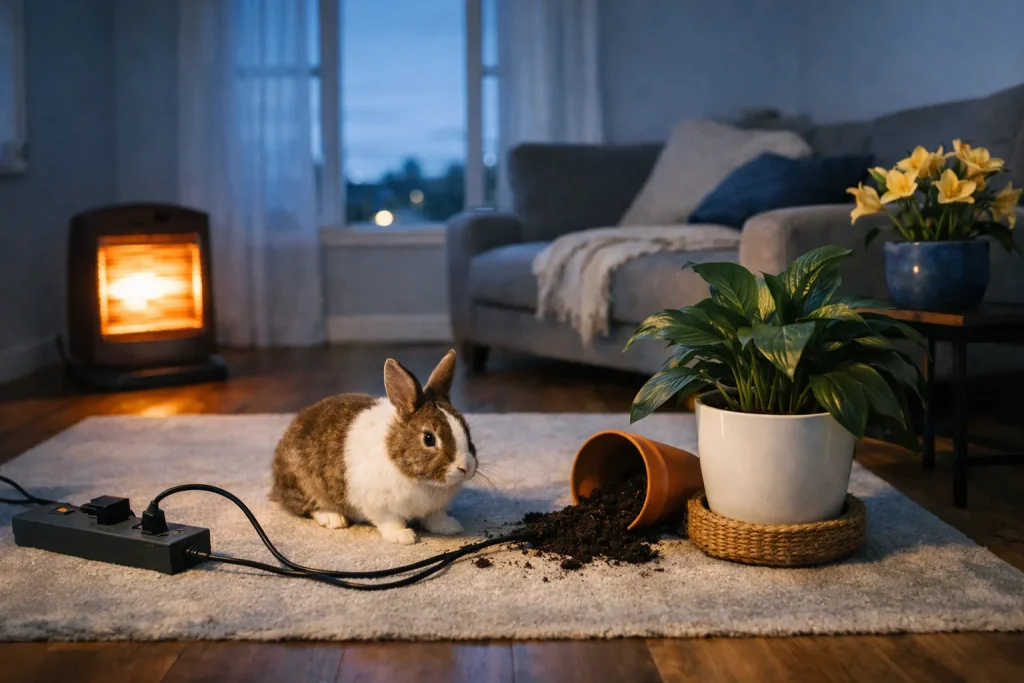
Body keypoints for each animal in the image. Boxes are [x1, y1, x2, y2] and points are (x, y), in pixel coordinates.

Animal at [270, 349, 477, 545]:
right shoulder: (378, 505)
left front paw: (449, 527)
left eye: (466, 429)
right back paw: (333, 519)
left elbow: (434, 517)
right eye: (428, 439)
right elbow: (390, 521)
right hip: (304, 485)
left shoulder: (434, 508)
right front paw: (403, 537)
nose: (465, 467)